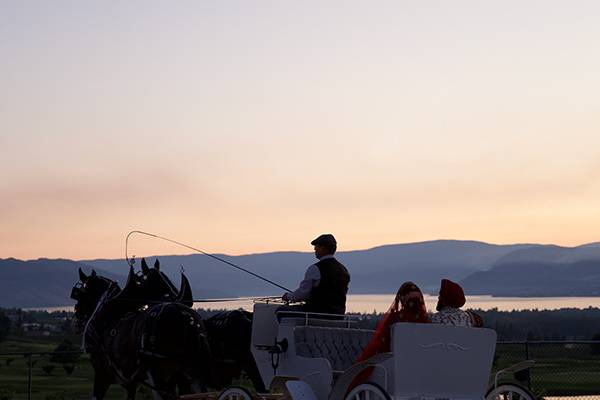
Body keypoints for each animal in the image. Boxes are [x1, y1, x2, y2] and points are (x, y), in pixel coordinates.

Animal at [71, 266, 211, 400]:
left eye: (79, 295)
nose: (76, 320)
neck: (107, 318)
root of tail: (184, 315)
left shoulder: (102, 375)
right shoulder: (129, 382)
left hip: (160, 374)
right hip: (188, 373)